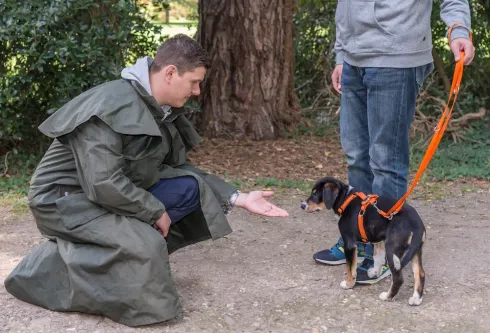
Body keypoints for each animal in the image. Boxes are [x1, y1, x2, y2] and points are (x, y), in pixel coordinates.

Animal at [298, 176, 424, 304]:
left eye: (316, 193)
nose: (302, 206)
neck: (345, 200)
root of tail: (417, 224)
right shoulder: (378, 241)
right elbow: (377, 257)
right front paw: (374, 272)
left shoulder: (349, 243)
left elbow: (350, 268)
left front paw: (348, 284)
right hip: (415, 251)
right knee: (420, 274)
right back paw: (416, 299)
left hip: (392, 249)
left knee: (398, 278)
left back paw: (387, 296)